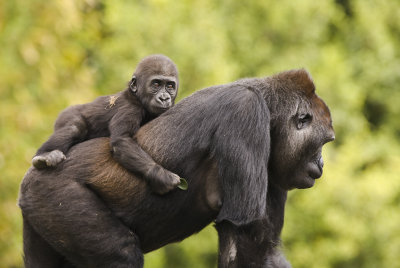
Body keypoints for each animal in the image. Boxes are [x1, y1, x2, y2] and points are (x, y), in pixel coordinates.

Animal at [19, 68, 334, 266]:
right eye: (325, 141)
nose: (320, 163)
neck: (270, 111)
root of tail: (33, 174)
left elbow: (265, 248)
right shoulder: (246, 112)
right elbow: (244, 237)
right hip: (52, 193)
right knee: (121, 253)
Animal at [32, 54, 180, 194]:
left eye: (170, 86)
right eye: (156, 84)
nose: (164, 98)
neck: (136, 97)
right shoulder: (130, 109)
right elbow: (122, 140)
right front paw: (160, 175)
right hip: (66, 115)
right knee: (75, 128)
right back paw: (45, 155)